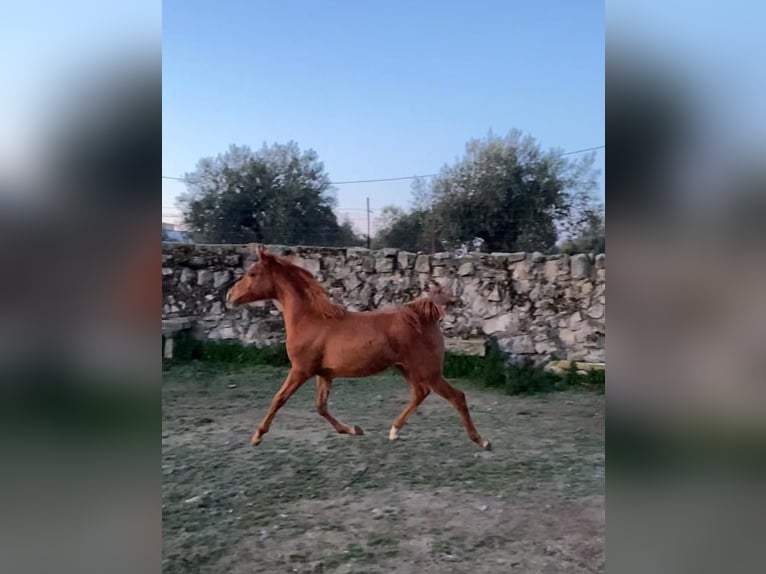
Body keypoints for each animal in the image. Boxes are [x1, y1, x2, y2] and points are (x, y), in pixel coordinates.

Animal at [225, 244, 491, 450]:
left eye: (252, 273)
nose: (229, 296)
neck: (310, 319)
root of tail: (424, 315)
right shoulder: (324, 374)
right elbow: (321, 407)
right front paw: (354, 429)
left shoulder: (301, 370)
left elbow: (278, 399)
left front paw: (257, 436)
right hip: (406, 368)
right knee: (420, 393)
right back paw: (394, 431)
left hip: (428, 371)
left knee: (457, 397)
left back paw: (483, 441)